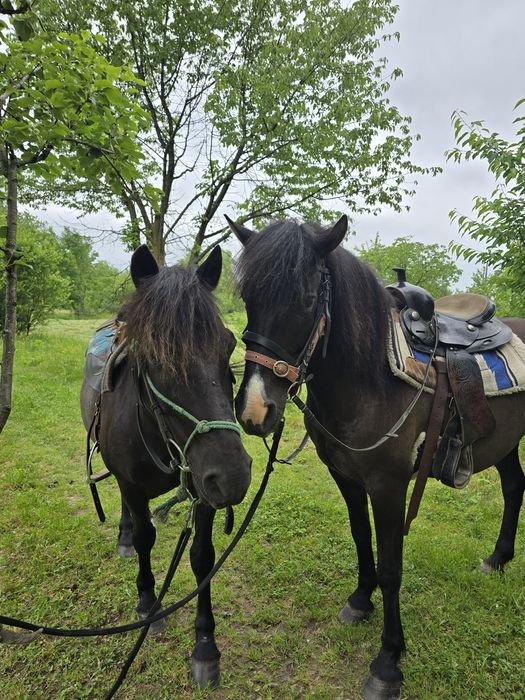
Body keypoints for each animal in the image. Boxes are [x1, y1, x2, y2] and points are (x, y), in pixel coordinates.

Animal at [80, 244, 252, 689]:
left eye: (229, 344)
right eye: (151, 356)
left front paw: (205, 647)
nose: (233, 475)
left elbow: (203, 559)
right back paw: (124, 538)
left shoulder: (203, 491)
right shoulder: (133, 486)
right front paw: (147, 604)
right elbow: (145, 539)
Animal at [227, 215, 525, 699]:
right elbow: (360, 538)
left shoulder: (389, 486)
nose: (256, 410)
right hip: (504, 442)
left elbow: (391, 568)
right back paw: (497, 559)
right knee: (515, 486)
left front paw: (388, 661)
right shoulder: (346, 477)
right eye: (248, 298)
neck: (370, 379)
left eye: (306, 300)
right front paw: (359, 600)